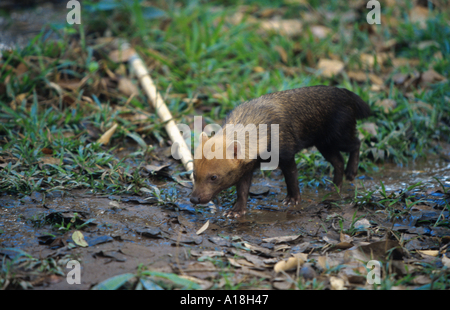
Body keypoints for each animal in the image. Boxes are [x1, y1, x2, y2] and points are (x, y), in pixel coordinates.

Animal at [189, 85, 370, 218]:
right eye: (194, 174)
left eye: (214, 177)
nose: (193, 198)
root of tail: (347, 94)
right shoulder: (247, 167)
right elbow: (242, 190)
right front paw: (236, 211)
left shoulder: (286, 153)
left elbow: (291, 177)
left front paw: (293, 200)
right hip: (324, 144)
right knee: (338, 161)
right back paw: (335, 186)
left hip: (339, 135)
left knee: (356, 143)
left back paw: (351, 172)